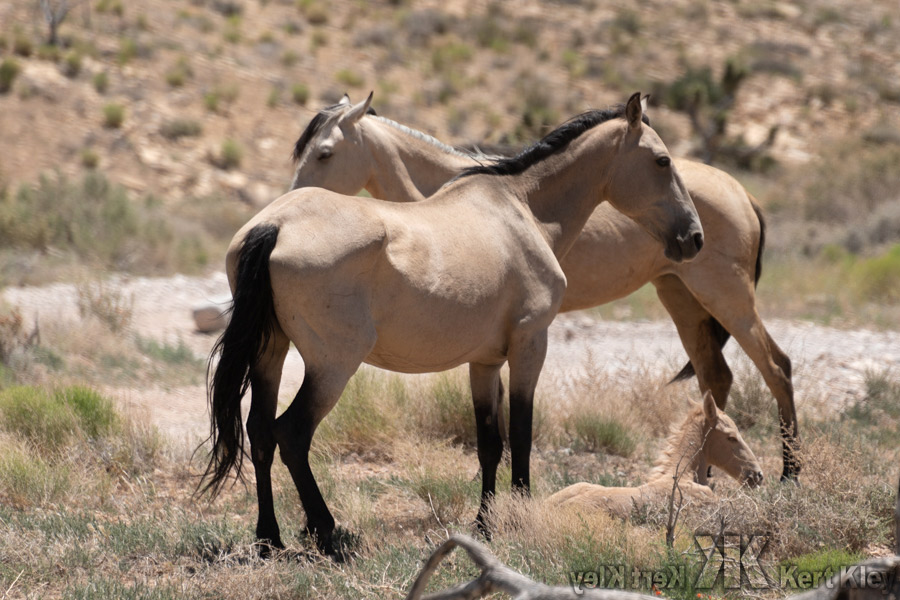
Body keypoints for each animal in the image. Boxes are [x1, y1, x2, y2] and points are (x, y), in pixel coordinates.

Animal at [202, 93, 703, 557]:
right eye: (663, 160)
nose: (693, 237)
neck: (522, 210)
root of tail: (274, 226)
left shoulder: (483, 362)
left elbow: (489, 444)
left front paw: (485, 525)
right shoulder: (530, 345)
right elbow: (522, 435)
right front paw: (520, 517)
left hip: (271, 353)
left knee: (260, 433)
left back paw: (270, 538)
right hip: (332, 366)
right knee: (291, 434)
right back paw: (327, 533)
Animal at [288, 93, 799, 482]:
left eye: (325, 153)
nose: (290, 198)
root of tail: (740, 191)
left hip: (725, 295)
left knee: (777, 367)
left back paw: (789, 475)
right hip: (682, 298)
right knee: (718, 377)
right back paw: (704, 477)